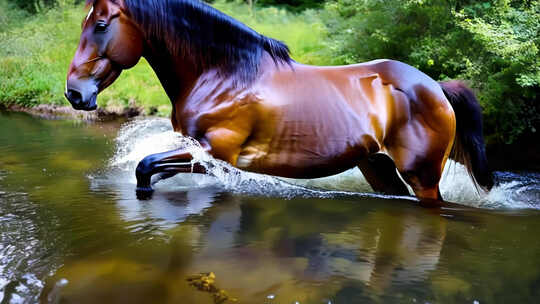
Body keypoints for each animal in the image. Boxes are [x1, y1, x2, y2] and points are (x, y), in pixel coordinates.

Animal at [65, 0, 492, 205]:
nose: (74, 92)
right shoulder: (201, 157)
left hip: (423, 176)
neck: (225, 73)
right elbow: (149, 170)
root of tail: (435, 87)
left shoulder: (214, 155)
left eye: (100, 25)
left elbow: (144, 167)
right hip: (379, 167)